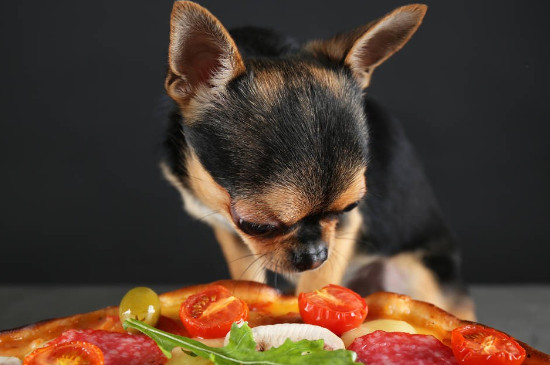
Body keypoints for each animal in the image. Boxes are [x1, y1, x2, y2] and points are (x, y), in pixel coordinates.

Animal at [162, 0, 476, 318]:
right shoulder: (232, 236)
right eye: (257, 226)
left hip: (418, 275)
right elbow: (248, 279)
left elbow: (316, 289)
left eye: (349, 208)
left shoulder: (341, 236)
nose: (314, 255)